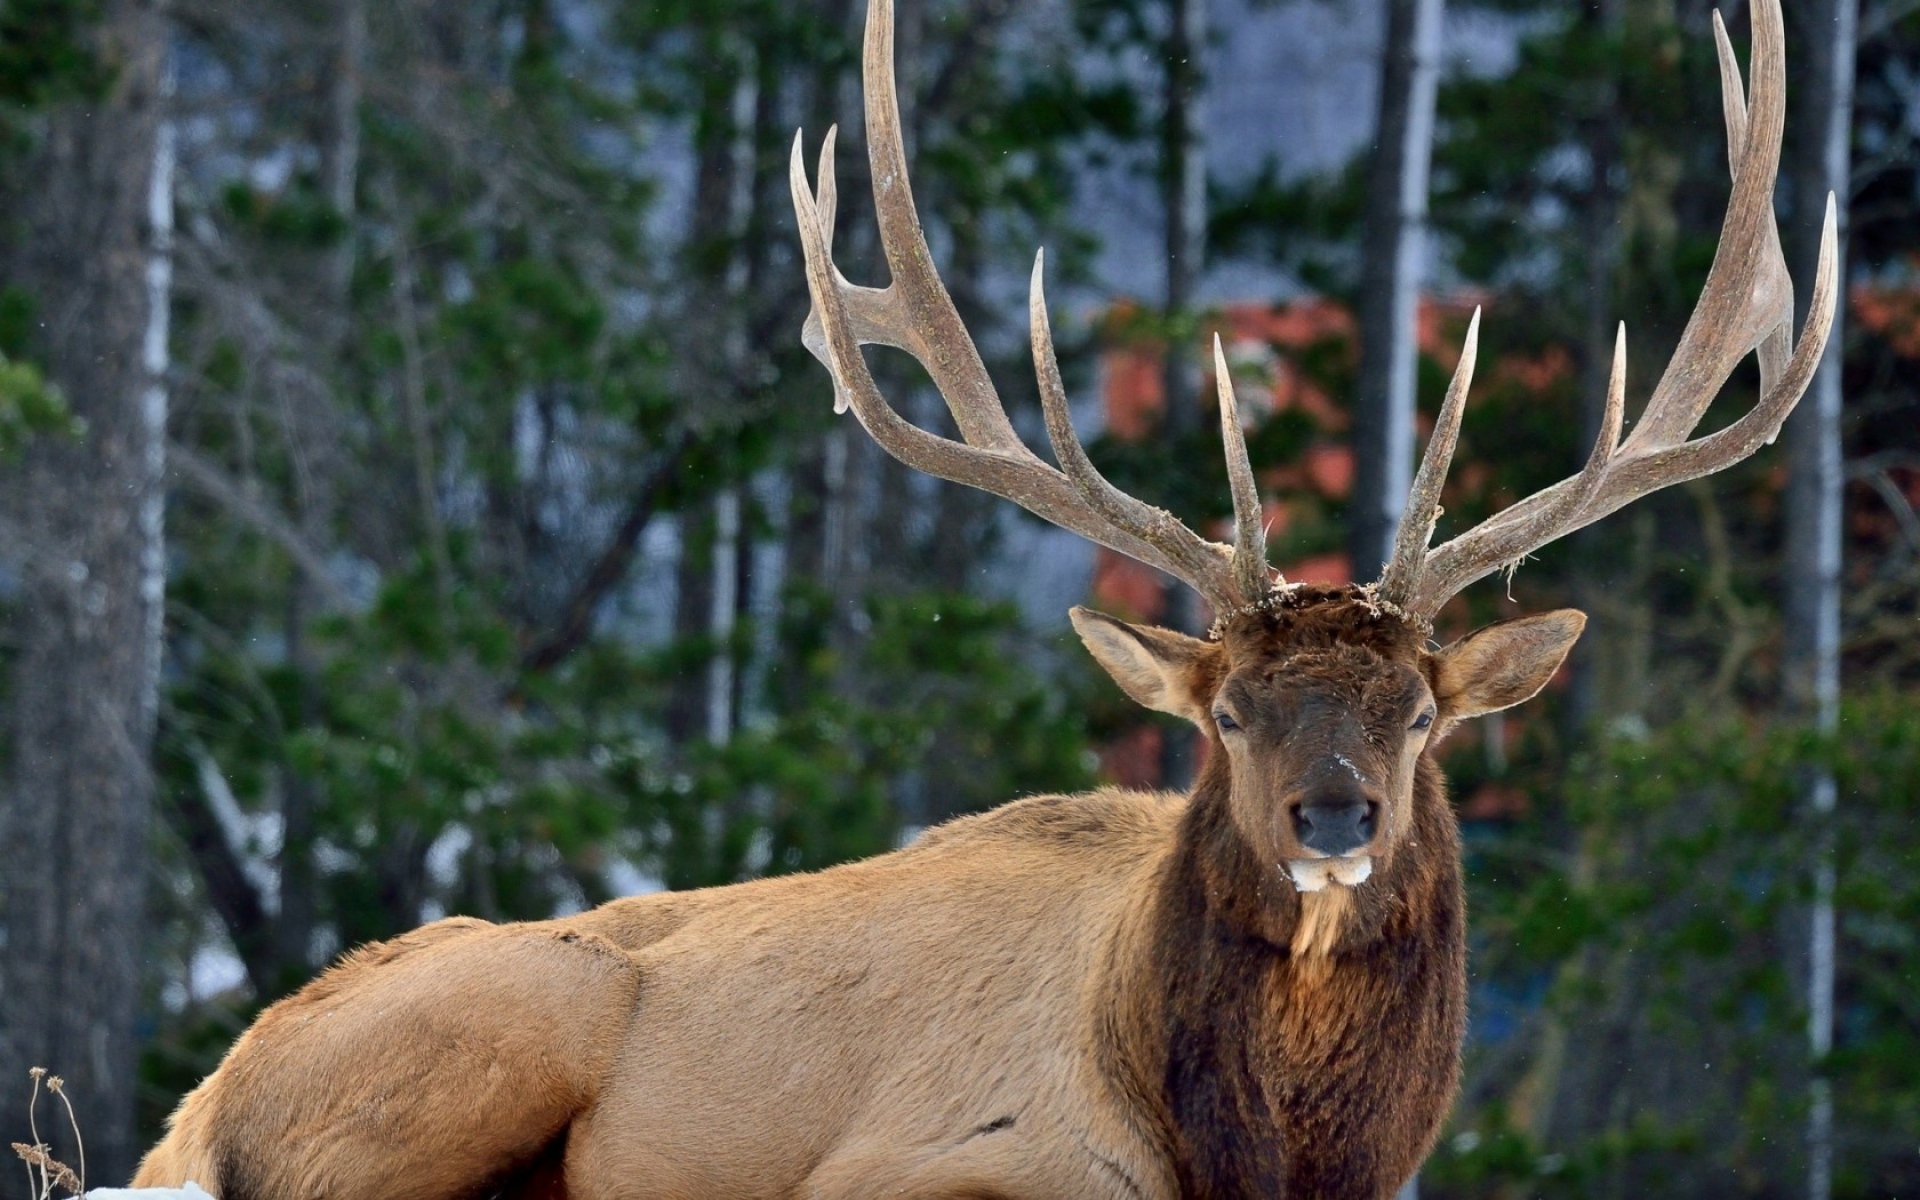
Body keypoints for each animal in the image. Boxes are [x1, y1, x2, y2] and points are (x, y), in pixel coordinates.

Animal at [133, 0, 1833, 1196]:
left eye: (1420, 714)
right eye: (1226, 715)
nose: (1335, 813)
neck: (1263, 1158)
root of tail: (196, 1109)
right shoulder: (922, 1164)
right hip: (507, 1025)